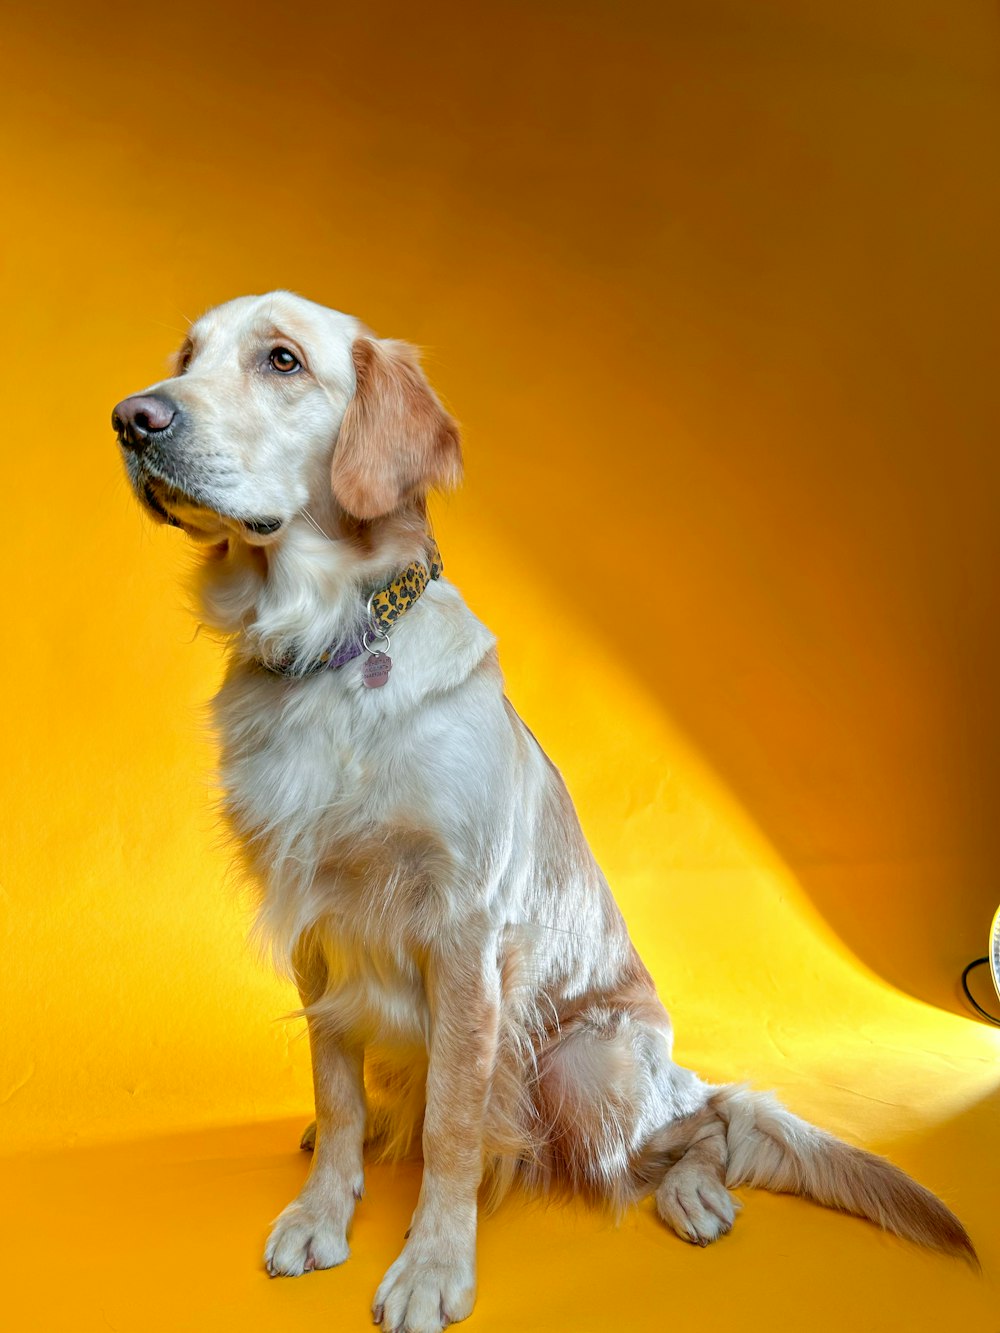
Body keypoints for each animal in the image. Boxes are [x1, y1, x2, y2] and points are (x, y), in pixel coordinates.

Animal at [113, 291, 976, 1333]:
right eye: (185, 356)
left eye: (282, 360)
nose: (133, 420)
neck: (331, 650)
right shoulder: (318, 927)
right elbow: (338, 1084)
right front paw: (324, 1204)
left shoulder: (467, 933)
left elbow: (452, 1124)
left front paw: (432, 1262)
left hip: (585, 1068)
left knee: (706, 1124)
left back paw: (695, 1187)